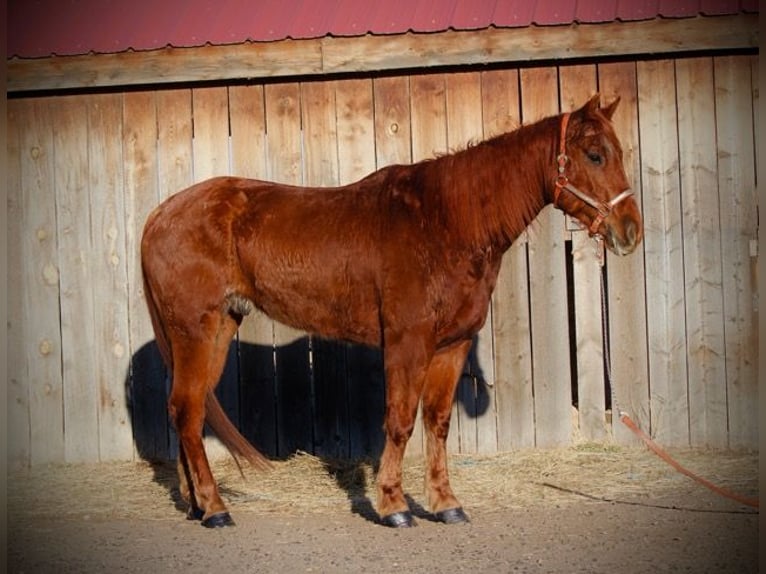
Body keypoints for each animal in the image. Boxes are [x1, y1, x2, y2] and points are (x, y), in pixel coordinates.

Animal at [142, 94, 640, 532]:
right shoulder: (407, 342)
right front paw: (394, 506)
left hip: (220, 329)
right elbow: (400, 422)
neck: (445, 223)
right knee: (186, 409)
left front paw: (446, 504)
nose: (630, 231)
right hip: (195, 331)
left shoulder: (451, 346)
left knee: (188, 409)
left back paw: (197, 504)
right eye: (595, 155)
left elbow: (437, 423)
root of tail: (160, 214)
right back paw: (215, 509)